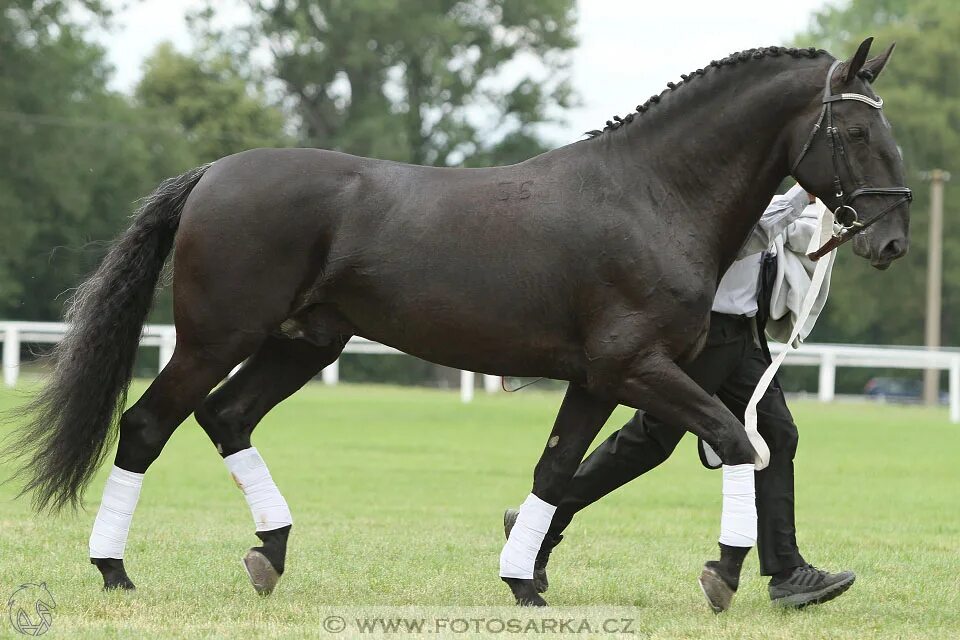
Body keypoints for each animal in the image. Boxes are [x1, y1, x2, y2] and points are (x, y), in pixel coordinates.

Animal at [5, 37, 908, 608]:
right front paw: (722, 572)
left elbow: (558, 470)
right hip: (214, 339)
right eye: (858, 130)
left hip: (304, 343)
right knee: (147, 425)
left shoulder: (598, 378)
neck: (652, 196)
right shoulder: (634, 368)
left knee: (225, 417)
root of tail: (212, 174)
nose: (893, 237)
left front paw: (523, 579)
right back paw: (115, 570)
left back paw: (271, 552)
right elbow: (734, 437)